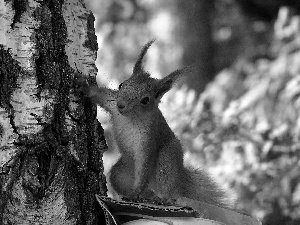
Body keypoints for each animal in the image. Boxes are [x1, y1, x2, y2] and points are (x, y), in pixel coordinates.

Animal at [76, 40, 229, 207]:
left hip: (167, 160)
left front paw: (135, 193)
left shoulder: (148, 138)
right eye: (122, 85)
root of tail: (180, 178)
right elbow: (101, 95)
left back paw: (160, 198)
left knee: (167, 189)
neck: (130, 118)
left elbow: (144, 165)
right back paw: (147, 195)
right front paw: (83, 86)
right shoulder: (112, 103)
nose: (121, 105)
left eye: (145, 100)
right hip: (121, 173)